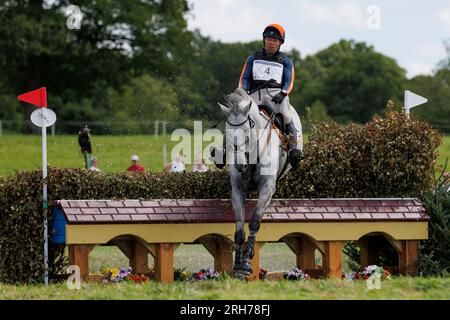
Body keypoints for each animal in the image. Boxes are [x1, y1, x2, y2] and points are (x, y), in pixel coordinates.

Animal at [217, 86, 304, 276]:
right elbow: (239, 228)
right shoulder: (238, 190)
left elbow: (255, 221)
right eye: (227, 135)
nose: (240, 164)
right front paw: (239, 263)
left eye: (246, 134)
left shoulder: (267, 188)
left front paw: (248, 255)